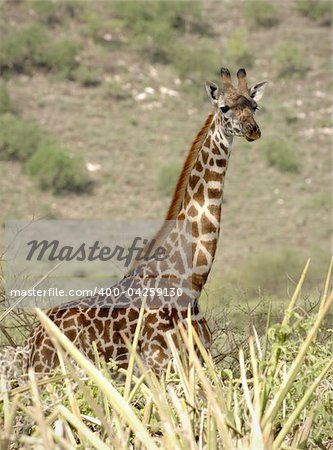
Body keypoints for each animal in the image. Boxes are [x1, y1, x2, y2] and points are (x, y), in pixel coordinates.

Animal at [0, 67, 264, 376]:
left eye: (254, 106)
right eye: (224, 107)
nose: (253, 130)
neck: (191, 280)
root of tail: (28, 345)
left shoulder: (200, 359)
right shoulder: (161, 364)